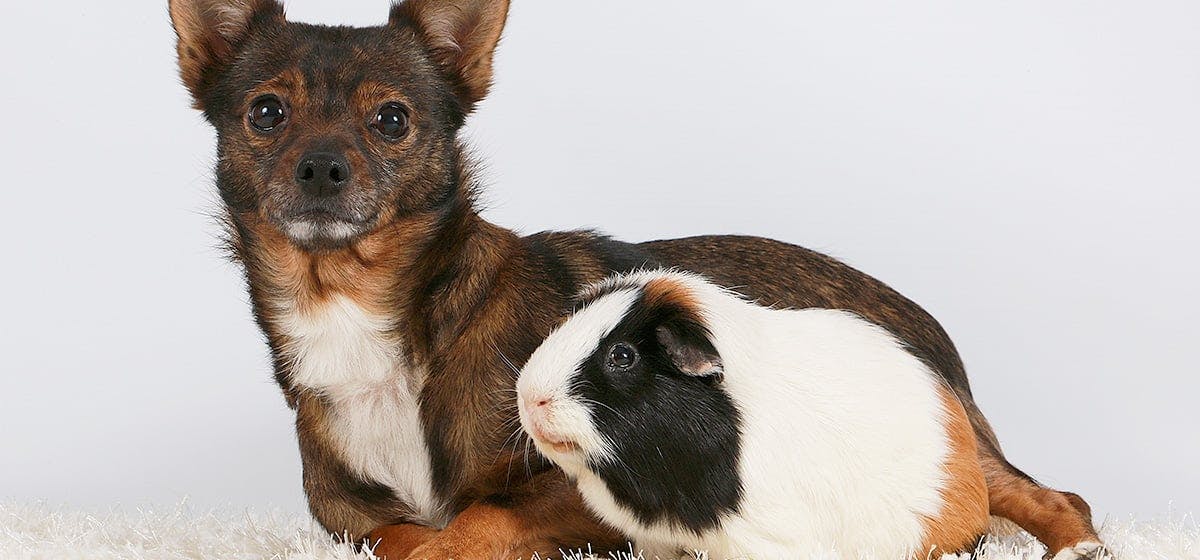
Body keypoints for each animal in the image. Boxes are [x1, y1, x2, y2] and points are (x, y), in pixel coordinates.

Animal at [166, 1, 1104, 560]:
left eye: (391, 119)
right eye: (266, 113)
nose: (322, 169)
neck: (374, 321)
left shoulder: (597, 495)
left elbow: (474, 520)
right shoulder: (353, 527)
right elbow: (400, 535)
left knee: (1052, 496)